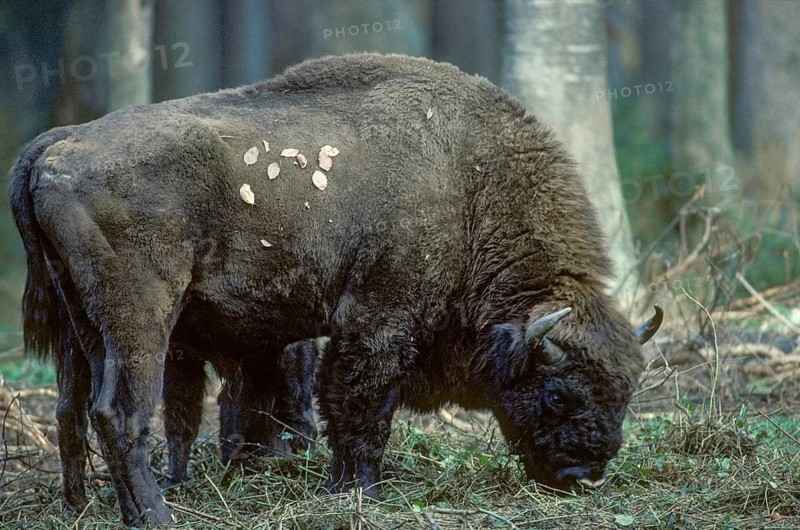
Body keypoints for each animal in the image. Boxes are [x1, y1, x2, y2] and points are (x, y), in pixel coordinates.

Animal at [9, 53, 662, 526]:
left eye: (626, 395)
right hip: (140, 320)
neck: (470, 186)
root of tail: (55, 147)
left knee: (76, 412)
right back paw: (157, 515)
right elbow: (361, 405)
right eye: (557, 394)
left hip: (83, 326)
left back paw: (101, 508)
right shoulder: (377, 320)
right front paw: (357, 489)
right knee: (121, 413)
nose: (585, 475)